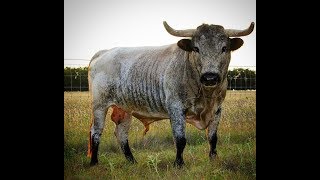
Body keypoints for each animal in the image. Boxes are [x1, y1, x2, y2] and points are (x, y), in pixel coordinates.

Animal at [87, 21, 255, 167]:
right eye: (196, 48)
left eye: (224, 48)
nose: (210, 77)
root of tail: (104, 52)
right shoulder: (175, 108)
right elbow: (180, 139)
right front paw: (178, 164)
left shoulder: (217, 109)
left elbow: (213, 138)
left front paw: (213, 159)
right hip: (99, 105)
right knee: (96, 132)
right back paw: (94, 162)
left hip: (125, 108)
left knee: (121, 133)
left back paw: (132, 161)